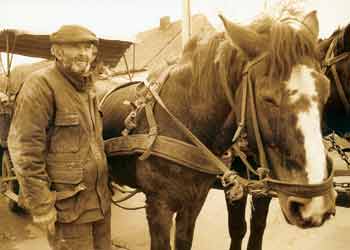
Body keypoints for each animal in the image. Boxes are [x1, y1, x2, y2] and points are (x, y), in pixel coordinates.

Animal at [99, 10, 336, 250]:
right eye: (267, 98)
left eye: (326, 92)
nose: (316, 205)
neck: (182, 120)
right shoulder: (159, 206)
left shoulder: (194, 202)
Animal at [224, 17, 350, 250]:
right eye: (267, 99)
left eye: (326, 91)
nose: (317, 205)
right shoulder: (234, 184)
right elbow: (237, 229)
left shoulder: (270, 181)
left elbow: (257, 227)